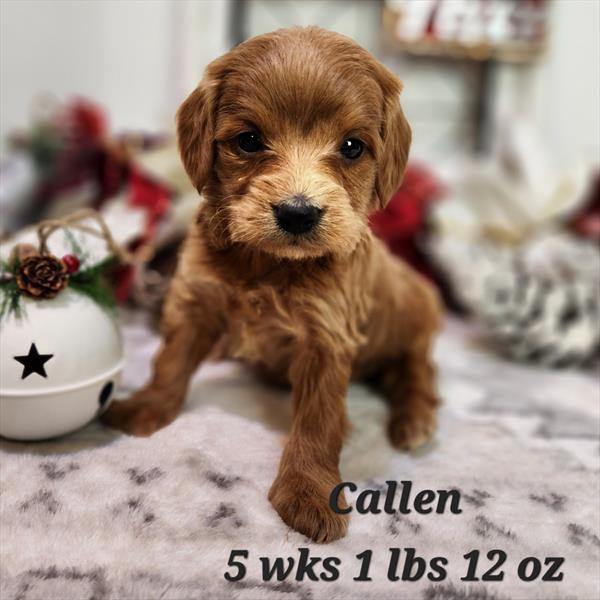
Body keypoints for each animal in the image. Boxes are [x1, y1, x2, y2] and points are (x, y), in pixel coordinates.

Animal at [102, 27, 440, 544]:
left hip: (413, 313)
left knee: (417, 365)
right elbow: (171, 362)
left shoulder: (327, 334)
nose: (298, 213)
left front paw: (307, 494)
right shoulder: (196, 299)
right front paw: (145, 407)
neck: (268, 263)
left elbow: (318, 419)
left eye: (352, 147)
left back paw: (415, 418)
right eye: (249, 140)